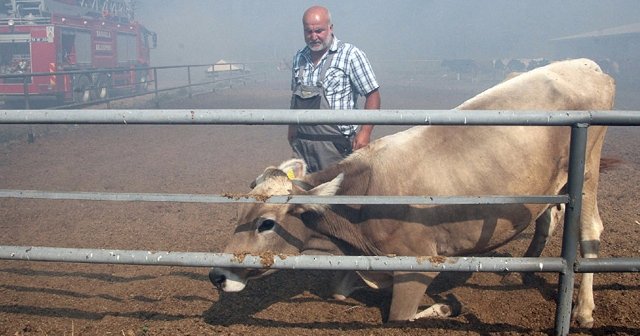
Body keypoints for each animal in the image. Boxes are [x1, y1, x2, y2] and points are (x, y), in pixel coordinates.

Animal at [210, 58, 616, 328]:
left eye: (265, 224)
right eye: (239, 213)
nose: (216, 275)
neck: (362, 202)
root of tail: (588, 66)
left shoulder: (416, 268)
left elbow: (399, 318)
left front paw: (449, 307)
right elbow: (340, 290)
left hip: (588, 168)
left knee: (589, 230)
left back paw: (582, 310)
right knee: (549, 215)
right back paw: (527, 270)